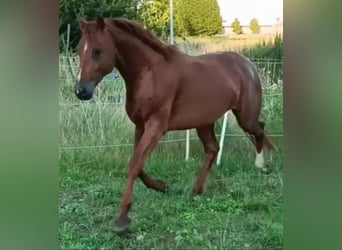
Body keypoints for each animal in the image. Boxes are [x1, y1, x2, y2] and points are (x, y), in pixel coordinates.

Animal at [75, 16, 276, 232]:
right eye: (79, 49)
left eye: (97, 51)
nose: (81, 91)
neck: (150, 73)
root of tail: (247, 64)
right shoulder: (140, 126)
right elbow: (138, 164)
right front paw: (162, 186)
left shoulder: (156, 126)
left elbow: (134, 164)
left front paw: (122, 219)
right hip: (204, 122)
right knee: (213, 148)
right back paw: (196, 190)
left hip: (245, 117)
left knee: (259, 129)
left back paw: (261, 166)